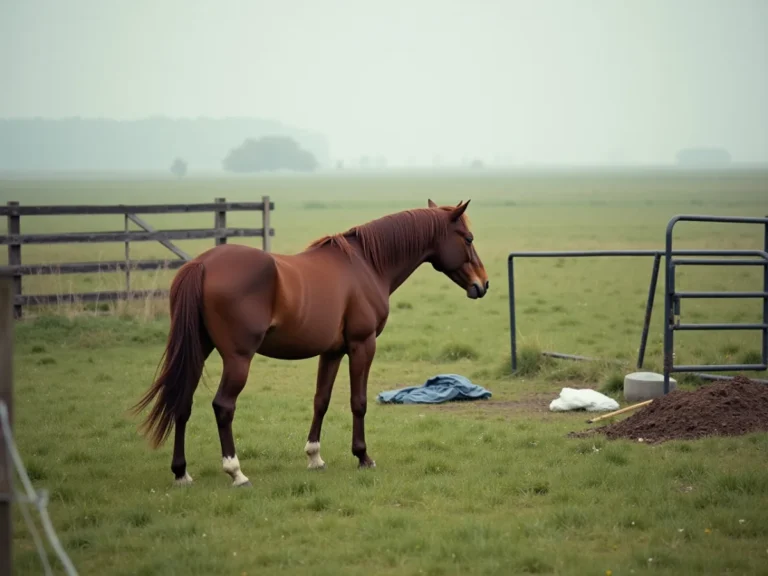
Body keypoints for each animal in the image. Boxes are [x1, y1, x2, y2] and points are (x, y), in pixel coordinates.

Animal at [132, 198, 489, 487]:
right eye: (468, 238)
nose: (483, 284)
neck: (366, 265)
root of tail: (201, 264)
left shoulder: (331, 352)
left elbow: (322, 400)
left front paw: (314, 456)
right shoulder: (362, 345)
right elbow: (358, 401)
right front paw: (363, 456)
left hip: (198, 351)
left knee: (182, 402)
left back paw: (181, 473)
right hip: (238, 358)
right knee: (223, 406)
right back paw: (236, 472)